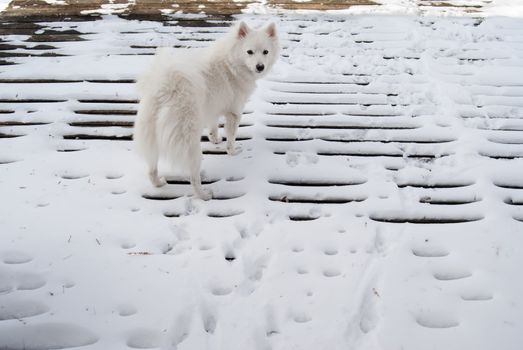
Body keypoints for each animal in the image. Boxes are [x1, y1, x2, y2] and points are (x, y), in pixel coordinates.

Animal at [135, 21, 280, 200]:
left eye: (265, 52)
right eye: (249, 52)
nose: (260, 67)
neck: (230, 62)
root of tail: (164, 88)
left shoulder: (212, 108)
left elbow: (213, 126)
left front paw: (215, 139)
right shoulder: (234, 112)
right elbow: (231, 137)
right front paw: (232, 151)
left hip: (152, 136)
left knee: (151, 167)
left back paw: (158, 183)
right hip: (190, 143)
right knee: (193, 176)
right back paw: (203, 194)